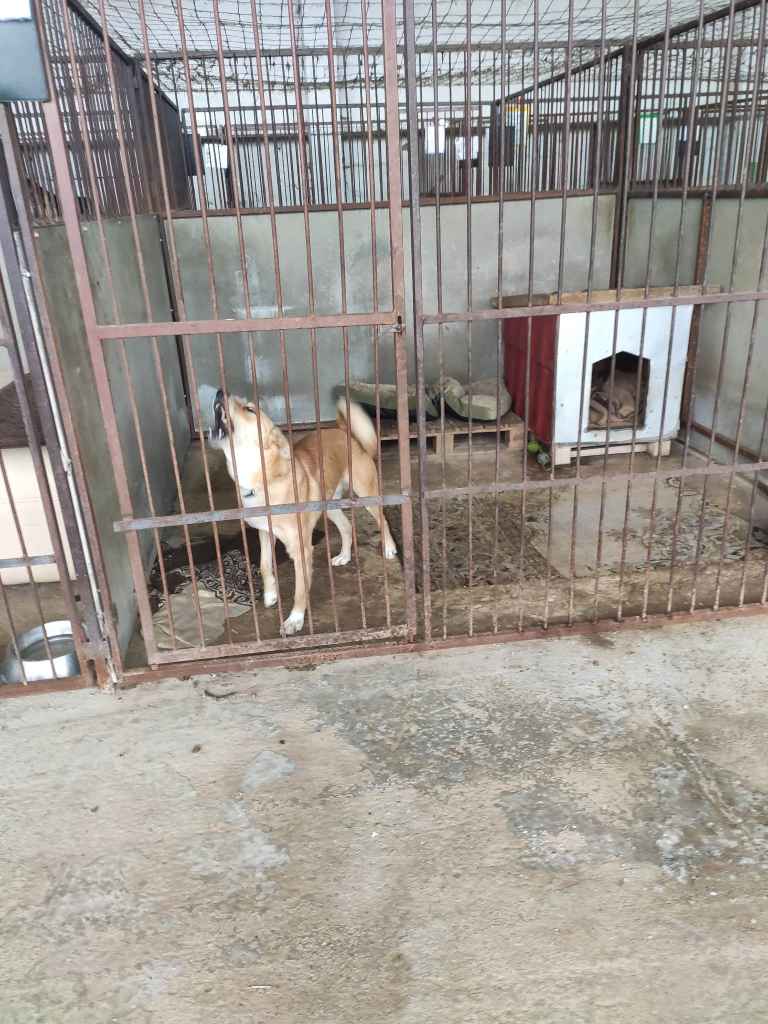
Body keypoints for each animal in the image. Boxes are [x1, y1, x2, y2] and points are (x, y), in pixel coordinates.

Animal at [211, 390, 397, 635]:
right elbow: (264, 565)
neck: (263, 481)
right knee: (347, 527)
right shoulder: (265, 533)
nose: (219, 392)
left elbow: (300, 589)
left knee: (382, 519)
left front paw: (295, 619)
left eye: (249, 409)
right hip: (328, 504)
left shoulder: (300, 549)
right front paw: (270, 594)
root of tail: (343, 431)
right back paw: (344, 556)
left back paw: (389, 548)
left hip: (367, 494)